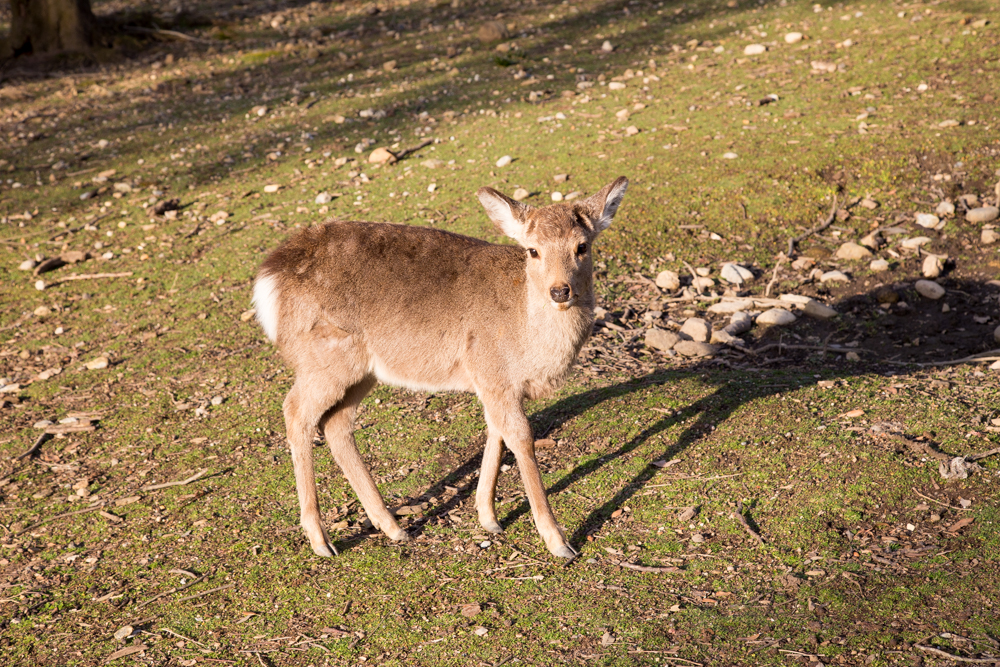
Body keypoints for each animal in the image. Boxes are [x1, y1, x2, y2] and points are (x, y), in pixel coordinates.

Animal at [256, 177, 632, 560]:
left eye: (582, 246)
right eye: (532, 251)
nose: (560, 291)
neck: (529, 343)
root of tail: (268, 278)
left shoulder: (492, 380)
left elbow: (495, 432)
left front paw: (488, 517)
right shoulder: (493, 371)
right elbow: (520, 438)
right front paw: (558, 542)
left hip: (361, 371)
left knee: (336, 424)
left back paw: (393, 527)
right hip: (323, 358)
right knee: (295, 411)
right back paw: (321, 539)